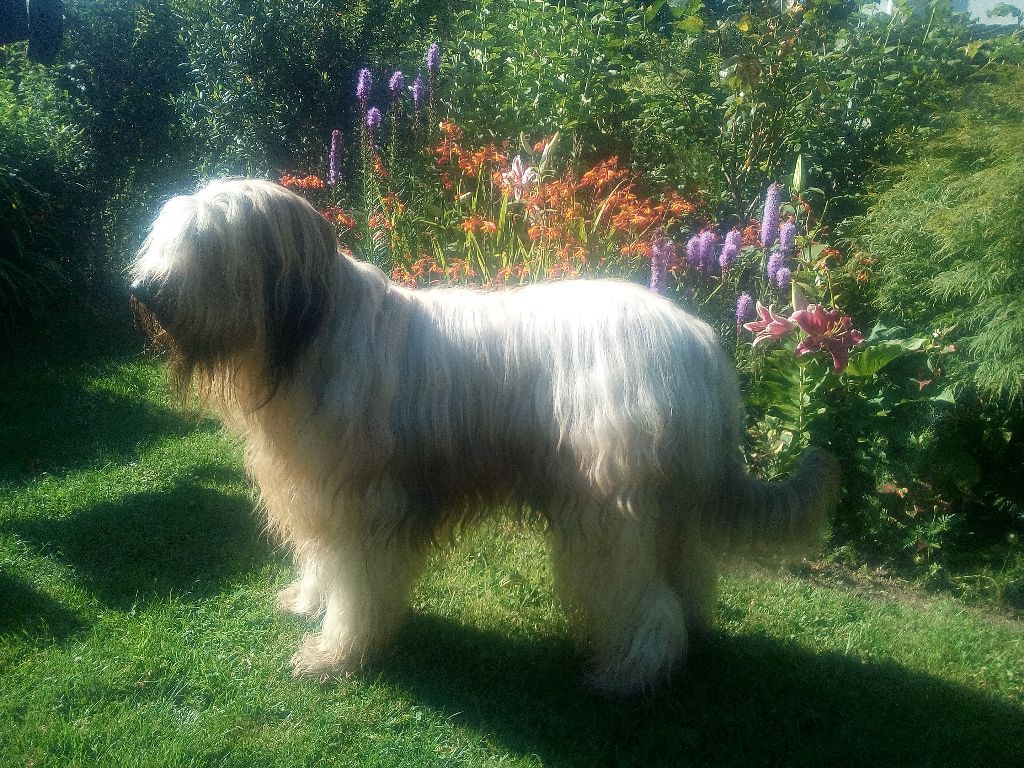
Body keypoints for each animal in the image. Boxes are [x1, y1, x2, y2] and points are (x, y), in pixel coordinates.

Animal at [132, 177, 839, 696]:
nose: (141, 289)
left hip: (611, 507)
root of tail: (702, 347)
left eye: (205, 243)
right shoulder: (319, 493)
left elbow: (357, 584)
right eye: (164, 236)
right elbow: (323, 562)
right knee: (686, 577)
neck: (308, 335)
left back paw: (630, 670)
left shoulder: (367, 505)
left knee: (644, 597)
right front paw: (309, 600)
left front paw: (334, 653)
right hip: (670, 506)